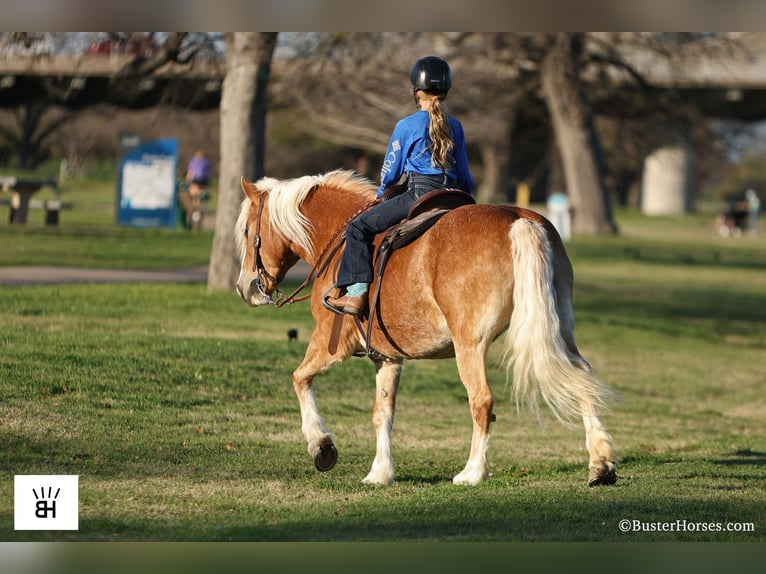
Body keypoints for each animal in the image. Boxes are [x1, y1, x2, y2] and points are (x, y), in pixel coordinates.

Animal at [234, 169, 616, 488]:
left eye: (247, 231)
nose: (245, 287)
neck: (339, 237)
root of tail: (518, 219)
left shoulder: (331, 343)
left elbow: (300, 379)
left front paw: (321, 446)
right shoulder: (387, 358)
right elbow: (382, 414)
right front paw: (380, 472)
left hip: (470, 345)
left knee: (482, 400)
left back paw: (472, 472)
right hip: (560, 329)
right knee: (581, 377)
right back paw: (600, 464)